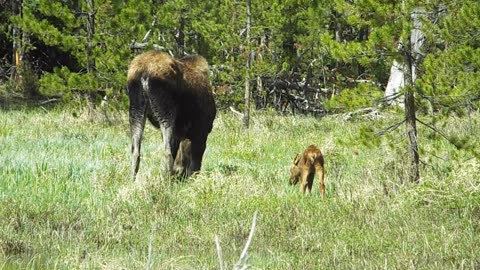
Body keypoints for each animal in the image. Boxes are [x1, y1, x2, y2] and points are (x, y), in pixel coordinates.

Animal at [128, 51, 217, 180]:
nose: (179, 173)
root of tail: (144, 72)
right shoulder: (201, 129)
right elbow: (196, 162)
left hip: (136, 110)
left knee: (136, 151)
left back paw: (132, 180)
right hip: (166, 112)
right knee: (168, 152)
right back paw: (168, 180)